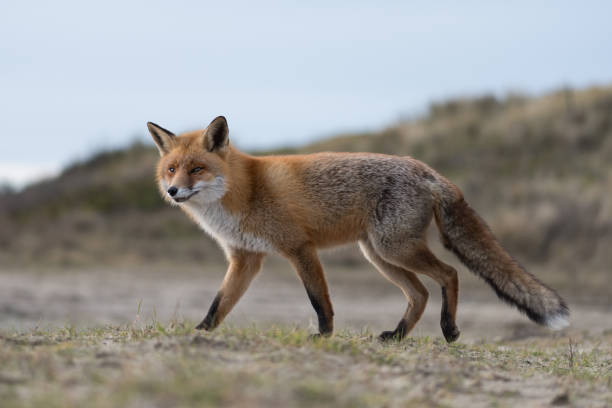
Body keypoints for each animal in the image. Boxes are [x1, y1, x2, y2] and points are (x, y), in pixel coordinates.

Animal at [148, 115, 568, 342]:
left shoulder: (300, 248)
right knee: (419, 294)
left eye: (197, 169)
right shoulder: (245, 259)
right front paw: (199, 333)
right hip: (379, 254)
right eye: (172, 169)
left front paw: (324, 336)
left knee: (449, 275)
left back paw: (448, 329)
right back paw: (397, 336)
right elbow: (219, 304)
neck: (244, 190)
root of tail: (426, 169)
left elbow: (319, 300)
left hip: (394, 248)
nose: (173, 191)